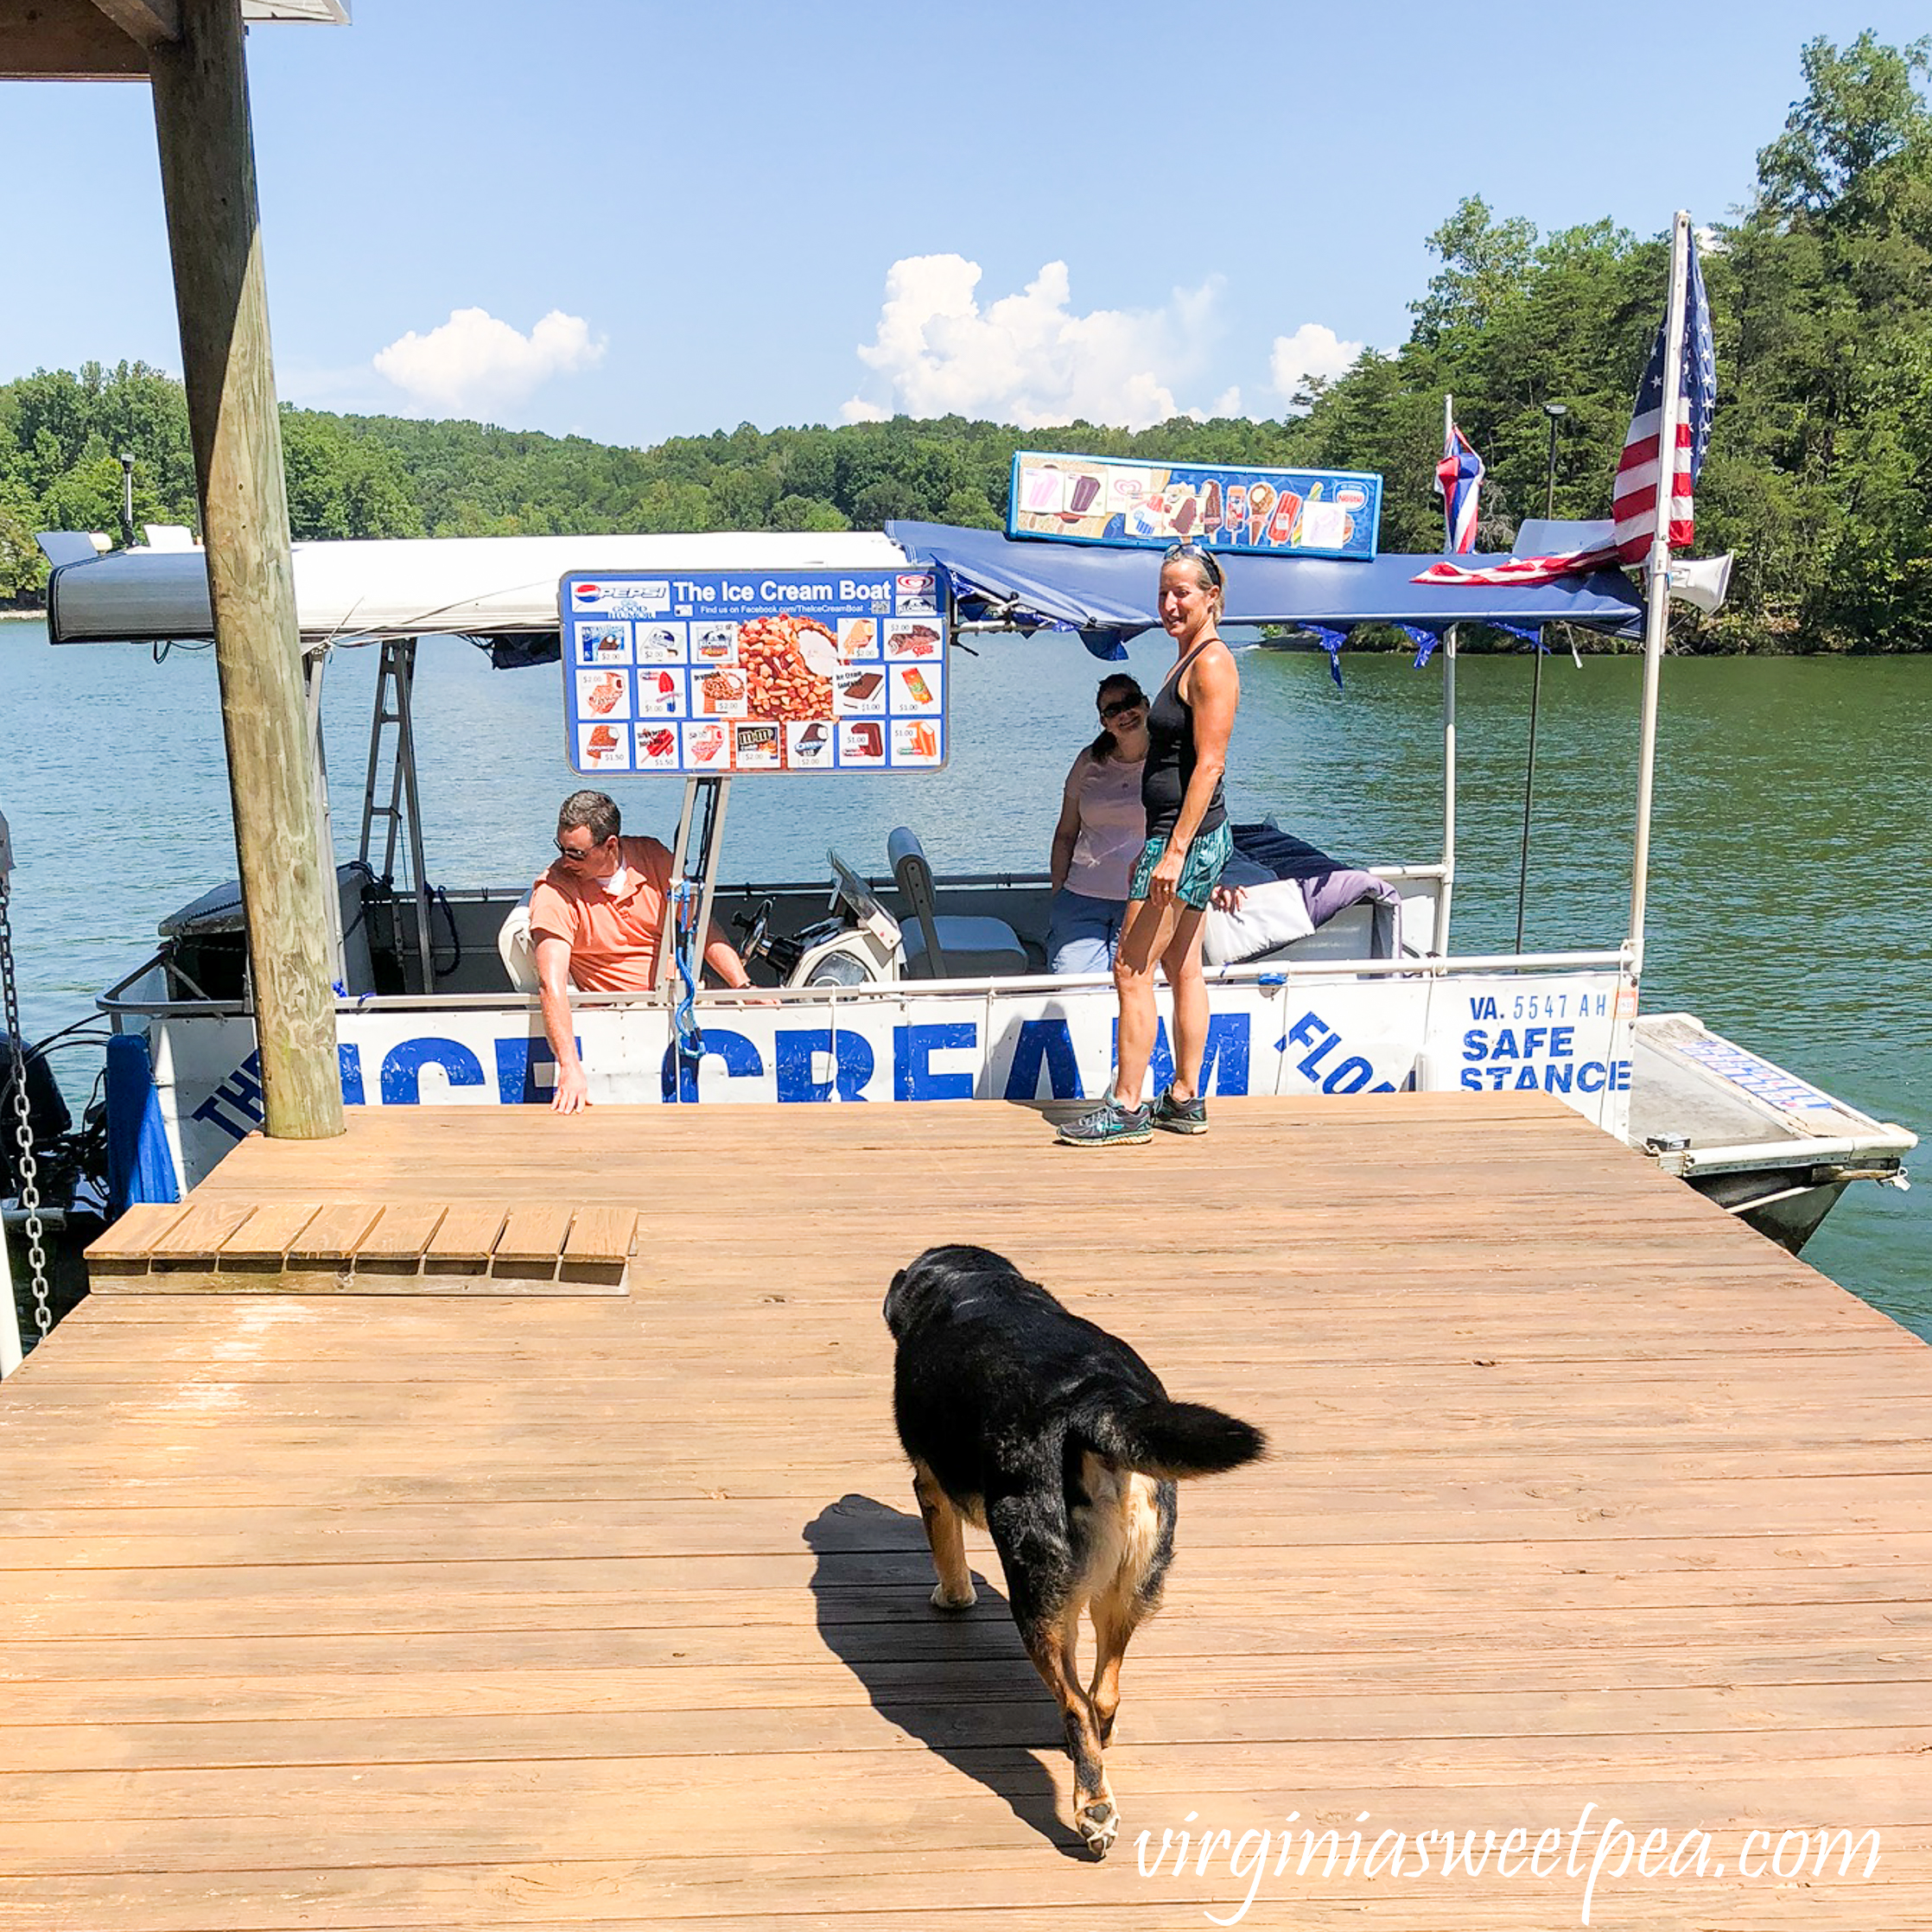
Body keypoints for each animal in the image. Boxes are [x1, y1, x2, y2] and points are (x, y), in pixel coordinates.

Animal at [885, 1236, 1259, 1854]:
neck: (974, 1283)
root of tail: (1093, 1404)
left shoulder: (930, 1484)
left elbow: (948, 1553)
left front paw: (953, 1597)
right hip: (1130, 1586)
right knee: (1102, 1692)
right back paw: (1101, 1754)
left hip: (1038, 1596)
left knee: (1075, 1704)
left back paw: (1094, 1810)